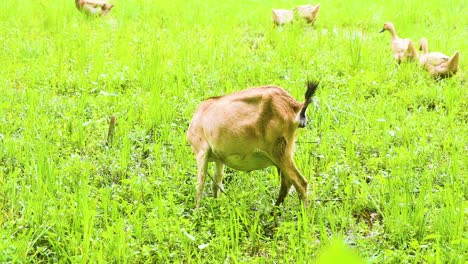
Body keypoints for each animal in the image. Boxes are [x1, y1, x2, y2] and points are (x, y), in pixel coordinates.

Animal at [186, 80, 318, 208]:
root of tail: (295, 106)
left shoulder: (201, 152)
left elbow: (200, 185)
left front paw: (197, 212)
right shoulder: (219, 159)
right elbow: (216, 182)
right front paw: (216, 206)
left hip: (279, 152)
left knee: (300, 183)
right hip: (284, 153)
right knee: (287, 184)